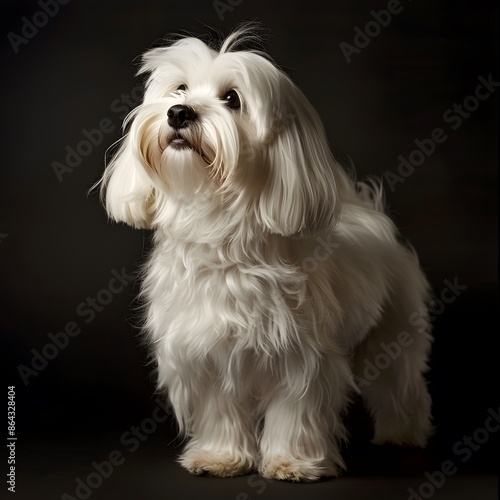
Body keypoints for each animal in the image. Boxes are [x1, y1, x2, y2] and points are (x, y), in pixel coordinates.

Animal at [98, 25, 434, 482]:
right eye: (179, 89)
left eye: (232, 99)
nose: (179, 113)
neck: (219, 231)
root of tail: (367, 213)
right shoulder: (205, 354)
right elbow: (220, 411)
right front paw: (221, 457)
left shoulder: (303, 358)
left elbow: (296, 411)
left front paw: (293, 462)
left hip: (394, 334)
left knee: (401, 385)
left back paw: (404, 434)